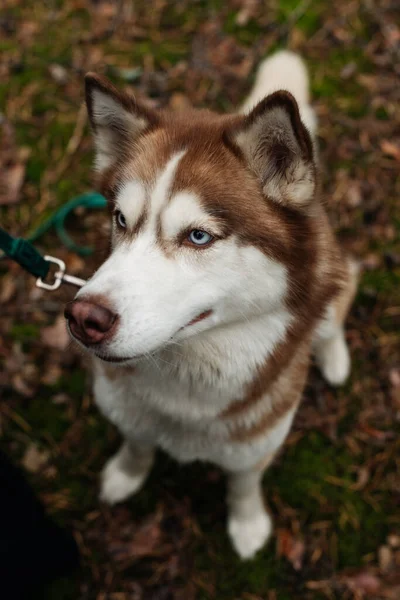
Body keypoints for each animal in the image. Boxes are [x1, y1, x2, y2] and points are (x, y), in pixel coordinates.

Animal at [64, 50, 358, 556]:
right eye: (120, 219)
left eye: (198, 236)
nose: (84, 317)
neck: (185, 393)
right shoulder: (126, 411)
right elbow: (137, 444)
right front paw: (126, 474)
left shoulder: (256, 444)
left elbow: (242, 485)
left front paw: (247, 525)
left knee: (336, 307)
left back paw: (335, 358)